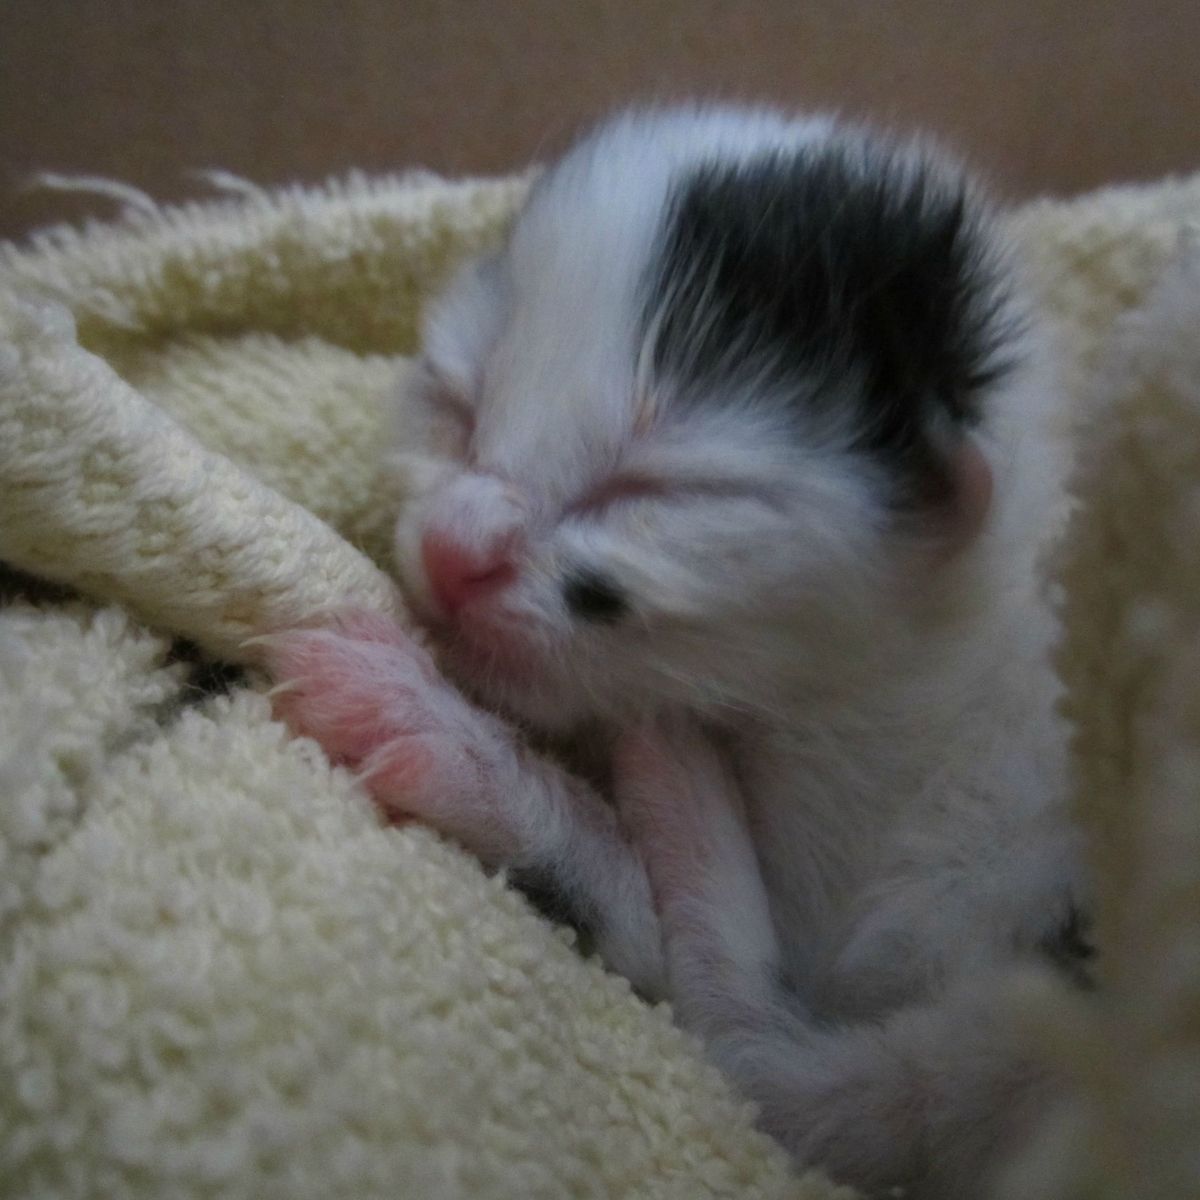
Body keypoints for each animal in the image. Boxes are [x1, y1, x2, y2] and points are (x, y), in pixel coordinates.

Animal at [262, 105, 1089, 1200]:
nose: (450, 552)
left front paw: (464, 746)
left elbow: (683, 980)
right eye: (457, 405)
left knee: (774, 1076)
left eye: (653, 492)